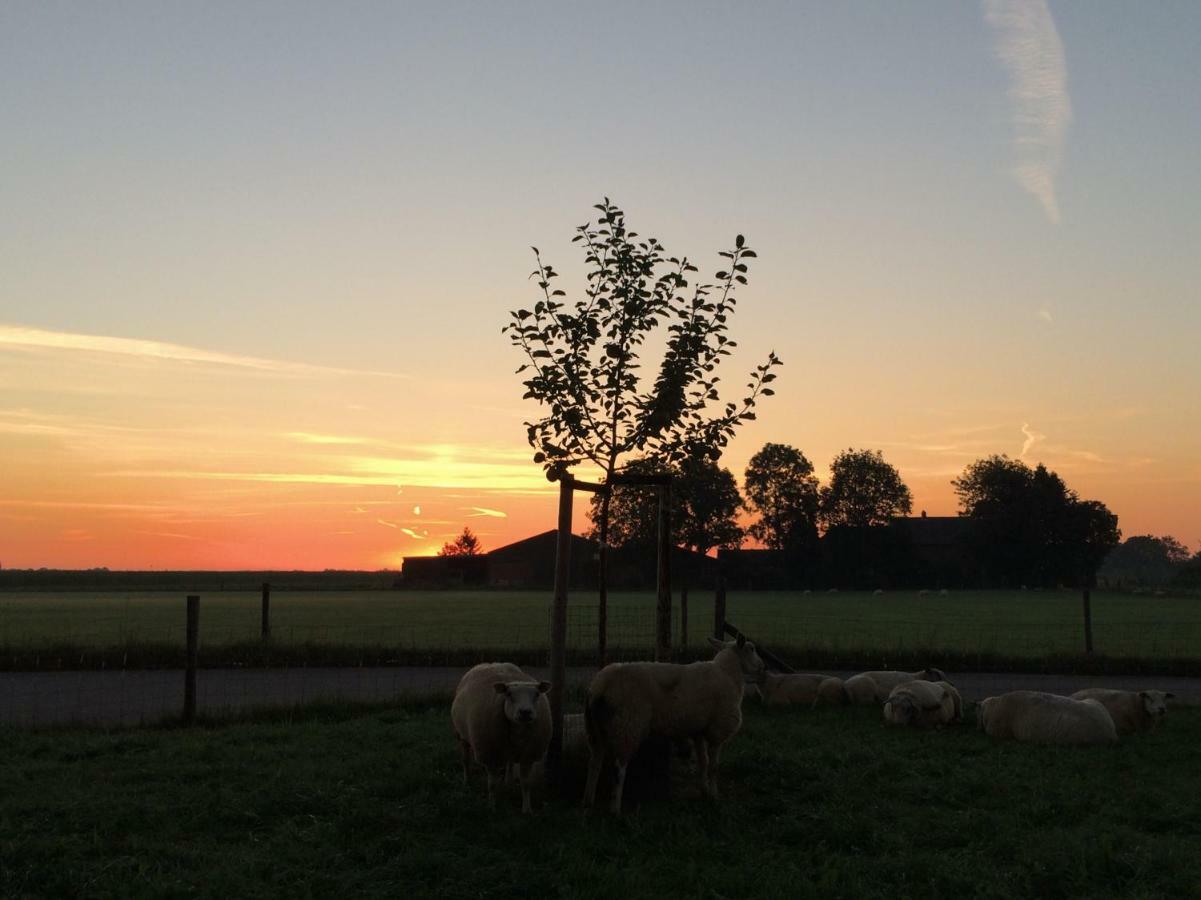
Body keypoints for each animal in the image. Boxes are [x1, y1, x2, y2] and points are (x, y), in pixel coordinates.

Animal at [451, 658, 552, 812]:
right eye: (509, 694)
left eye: (537, 695)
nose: (525, 712)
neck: (518, 733)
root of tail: (492, 663)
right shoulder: (490, 755)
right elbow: (492, 784)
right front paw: (492, 806)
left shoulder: (528, 756)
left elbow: (526, 783)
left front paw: (527, 809)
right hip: (461, 735)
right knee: (465, 760)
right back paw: (467, 781)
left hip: (508, 750)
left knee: (509, 764)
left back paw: (508, 783)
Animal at [583, 629, 768, 812]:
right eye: (751, 649)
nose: (764, 667)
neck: (728, 674)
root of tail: (601, 685)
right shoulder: (717, 730)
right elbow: (714, 767)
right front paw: (714, 795)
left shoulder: (698, 730)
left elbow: (703, 762)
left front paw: (704, 791)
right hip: (628, 726)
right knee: (618, 769)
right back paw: (615, 810)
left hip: (597, 729)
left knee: (594, 763)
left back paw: (589, 802)